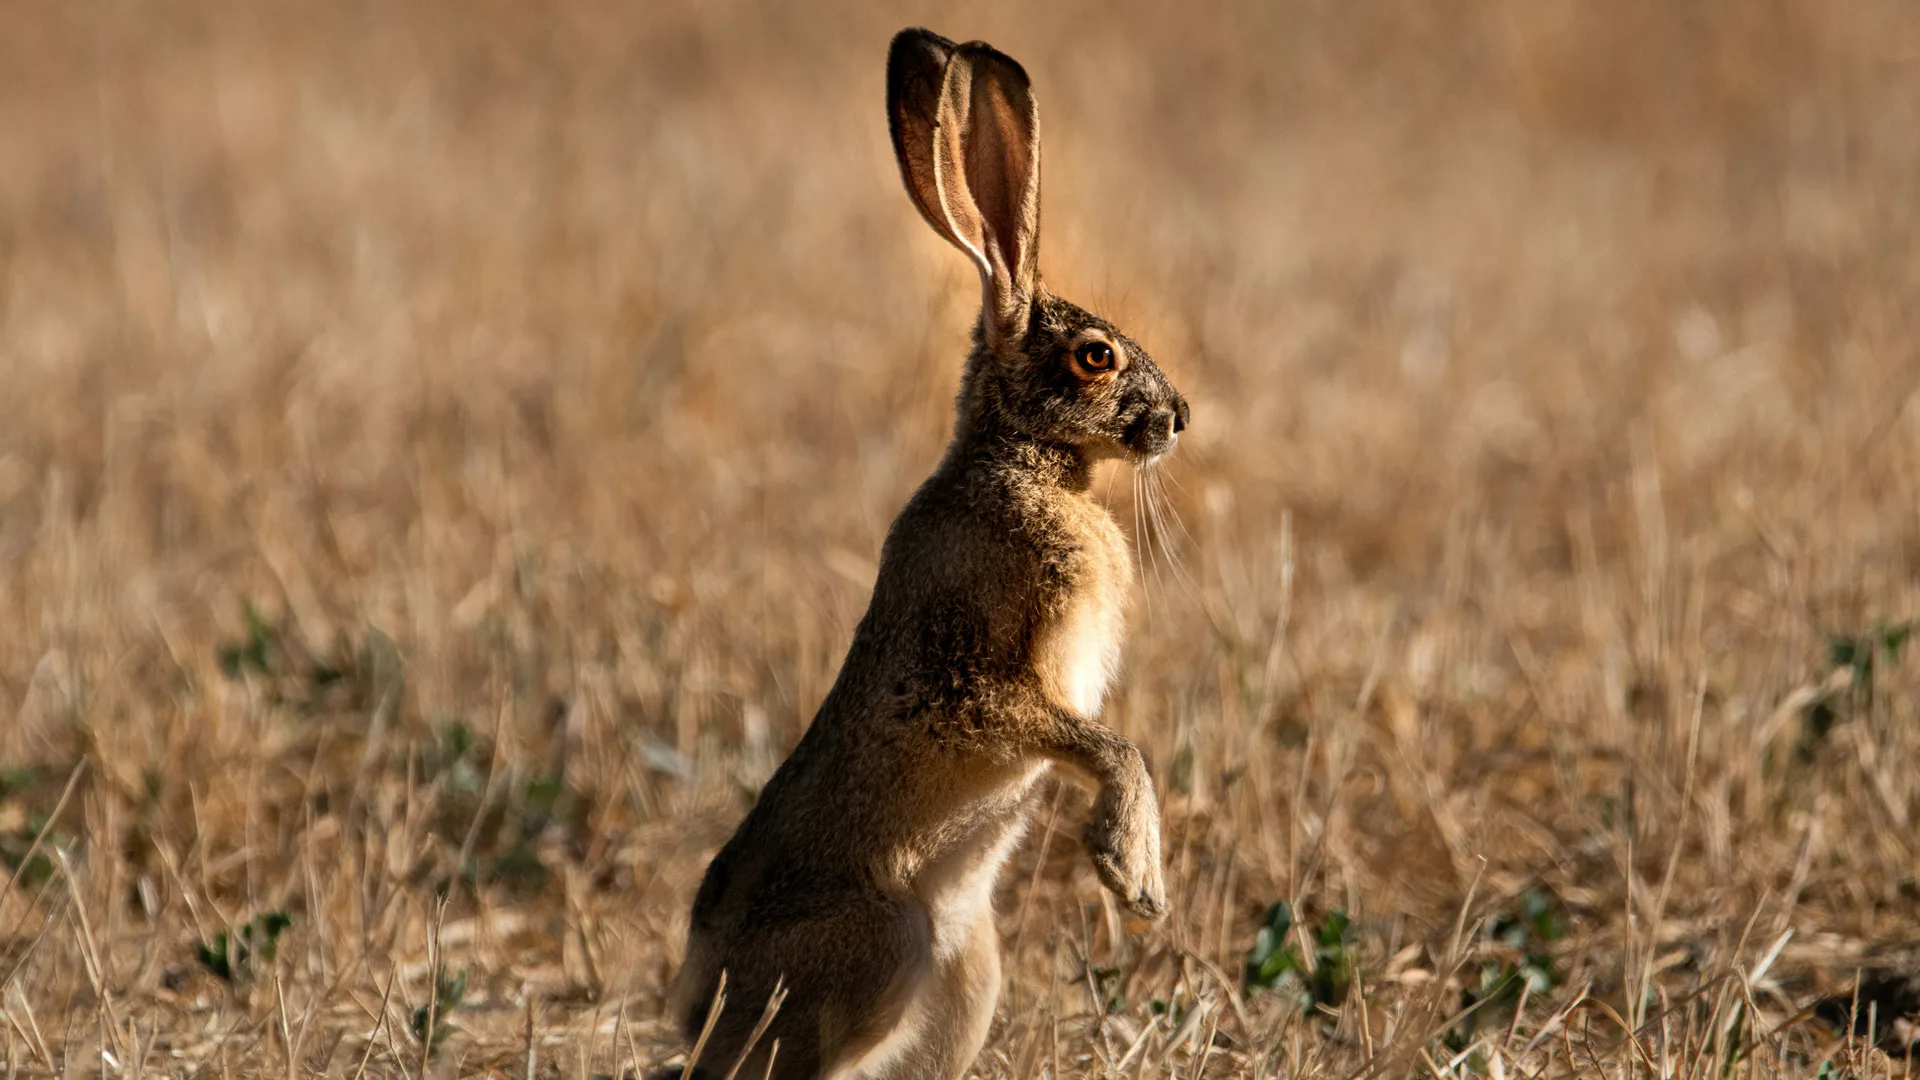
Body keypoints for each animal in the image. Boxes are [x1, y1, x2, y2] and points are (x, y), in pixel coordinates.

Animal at [667, 26, 1189, 1080]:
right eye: (1096, 356)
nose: (1179, 419)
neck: (1022, 461)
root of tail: (699, 996)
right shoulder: (970, 680)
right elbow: (1108, 745)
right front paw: (1131, 873)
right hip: (881, 949)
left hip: (969, 970)